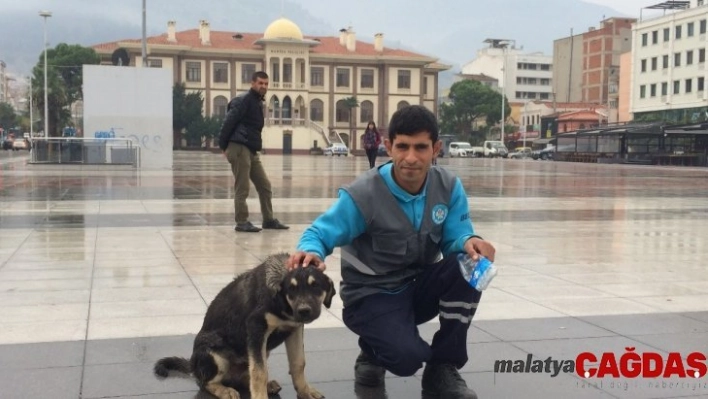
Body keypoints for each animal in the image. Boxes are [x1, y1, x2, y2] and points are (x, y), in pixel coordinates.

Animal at [153, 255, 336, 398]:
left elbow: (298, 362)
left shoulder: (294, 329)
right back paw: (225, 391)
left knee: (245, 374)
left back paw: (266, 385)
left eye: (316, 286)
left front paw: (305, 391)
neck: (282, 304)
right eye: (291, 289)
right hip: (215, 355)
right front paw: (261, 397)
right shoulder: (256, 327)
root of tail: (192, 364)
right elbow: (259, 372)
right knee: (204, 382)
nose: (304, 311)